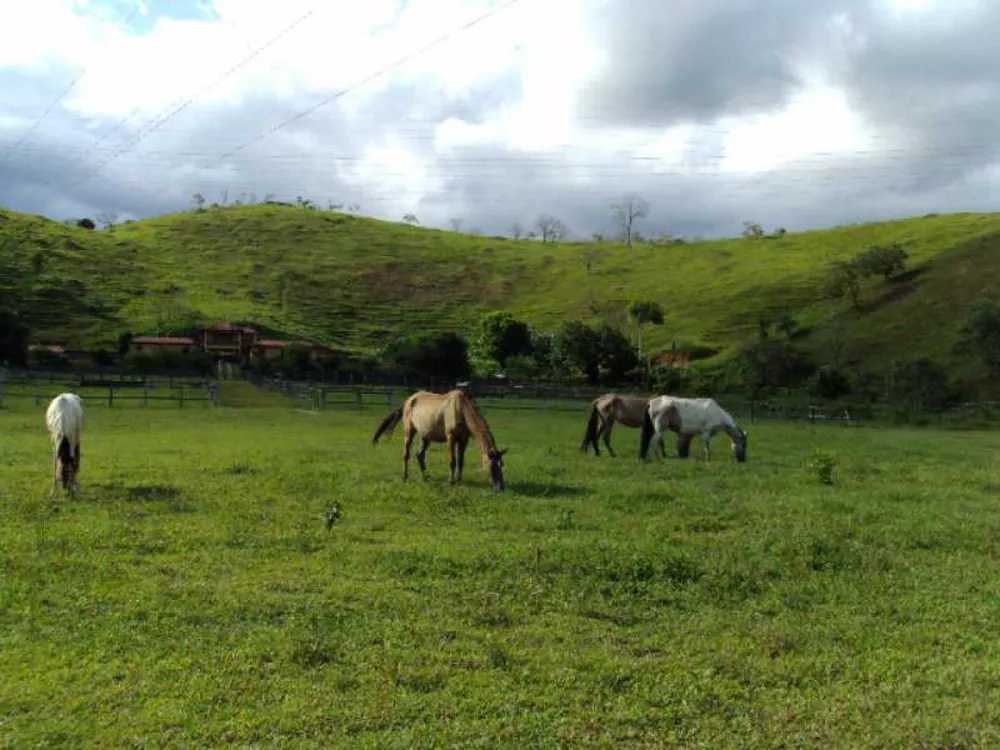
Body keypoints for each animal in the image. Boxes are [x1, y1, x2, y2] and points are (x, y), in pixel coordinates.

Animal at [370, 390, 508, 490]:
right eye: (491, 465)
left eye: (502, 464)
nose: (500, 487)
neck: (461, 410)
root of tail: (408, 401)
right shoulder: (451, 438)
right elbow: (453, 461)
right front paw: (451, 481)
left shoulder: (464, 440)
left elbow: (461, 461)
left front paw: (459, 480)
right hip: (409, 431)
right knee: (406, 454)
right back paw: (405, 477)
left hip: (425, 436)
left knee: (419, 455)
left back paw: (426, 477)